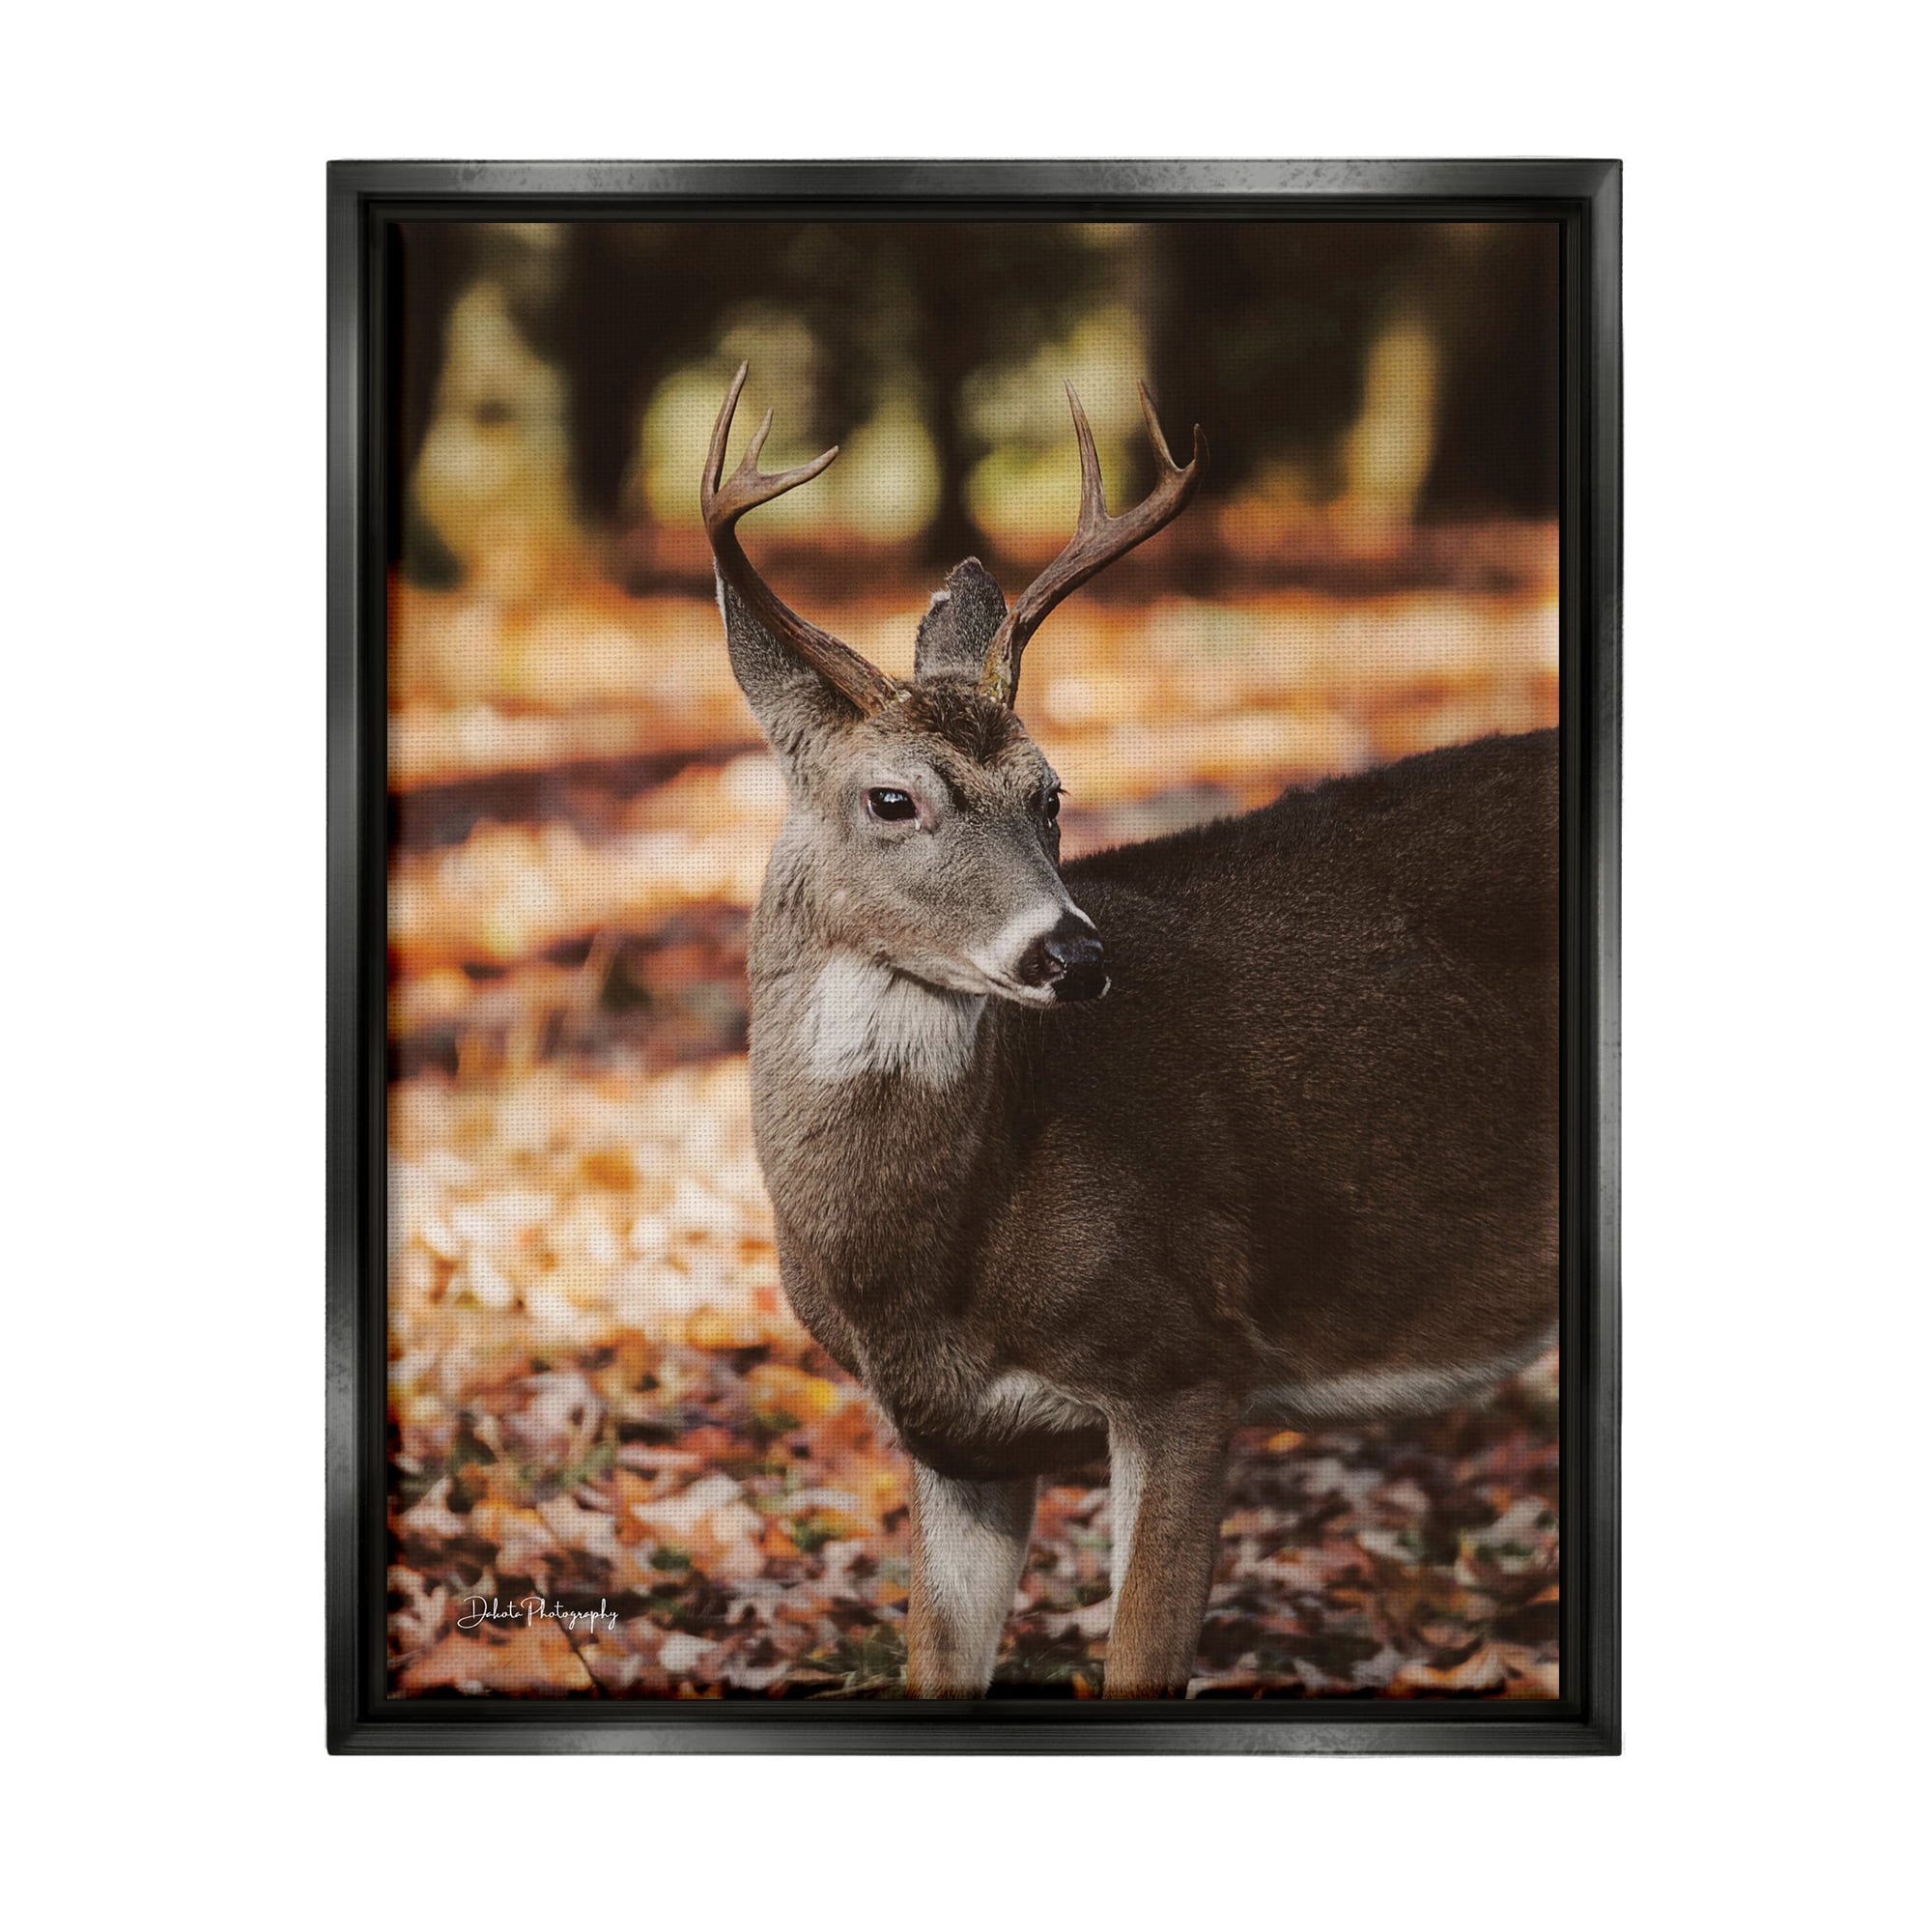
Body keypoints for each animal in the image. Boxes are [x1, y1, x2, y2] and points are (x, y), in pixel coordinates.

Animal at [701, 362, 1559, 1699]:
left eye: (1050, 794)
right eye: (892, 798)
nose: (1075, 955)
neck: (926, 1271)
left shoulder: (1189, 1357)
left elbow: (1139, 1659)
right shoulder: (954, 1442)